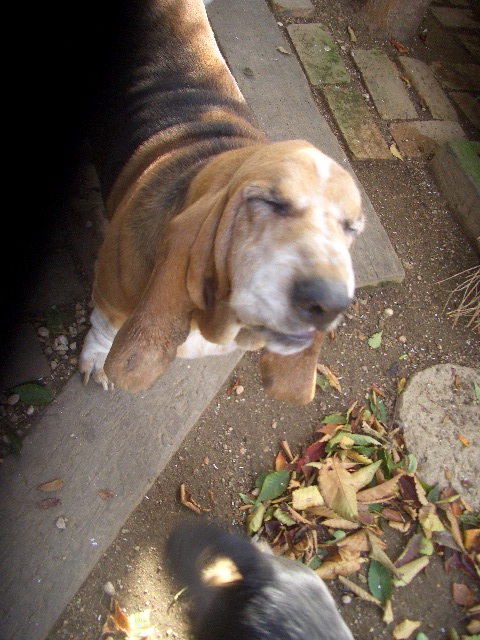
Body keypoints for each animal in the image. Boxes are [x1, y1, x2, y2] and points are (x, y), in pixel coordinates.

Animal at [79, 0, 364, 404]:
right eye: (268, 203)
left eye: (350, 228)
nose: (329, 302)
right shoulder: (108, 295)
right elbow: (102, 329)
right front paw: (98, 361)